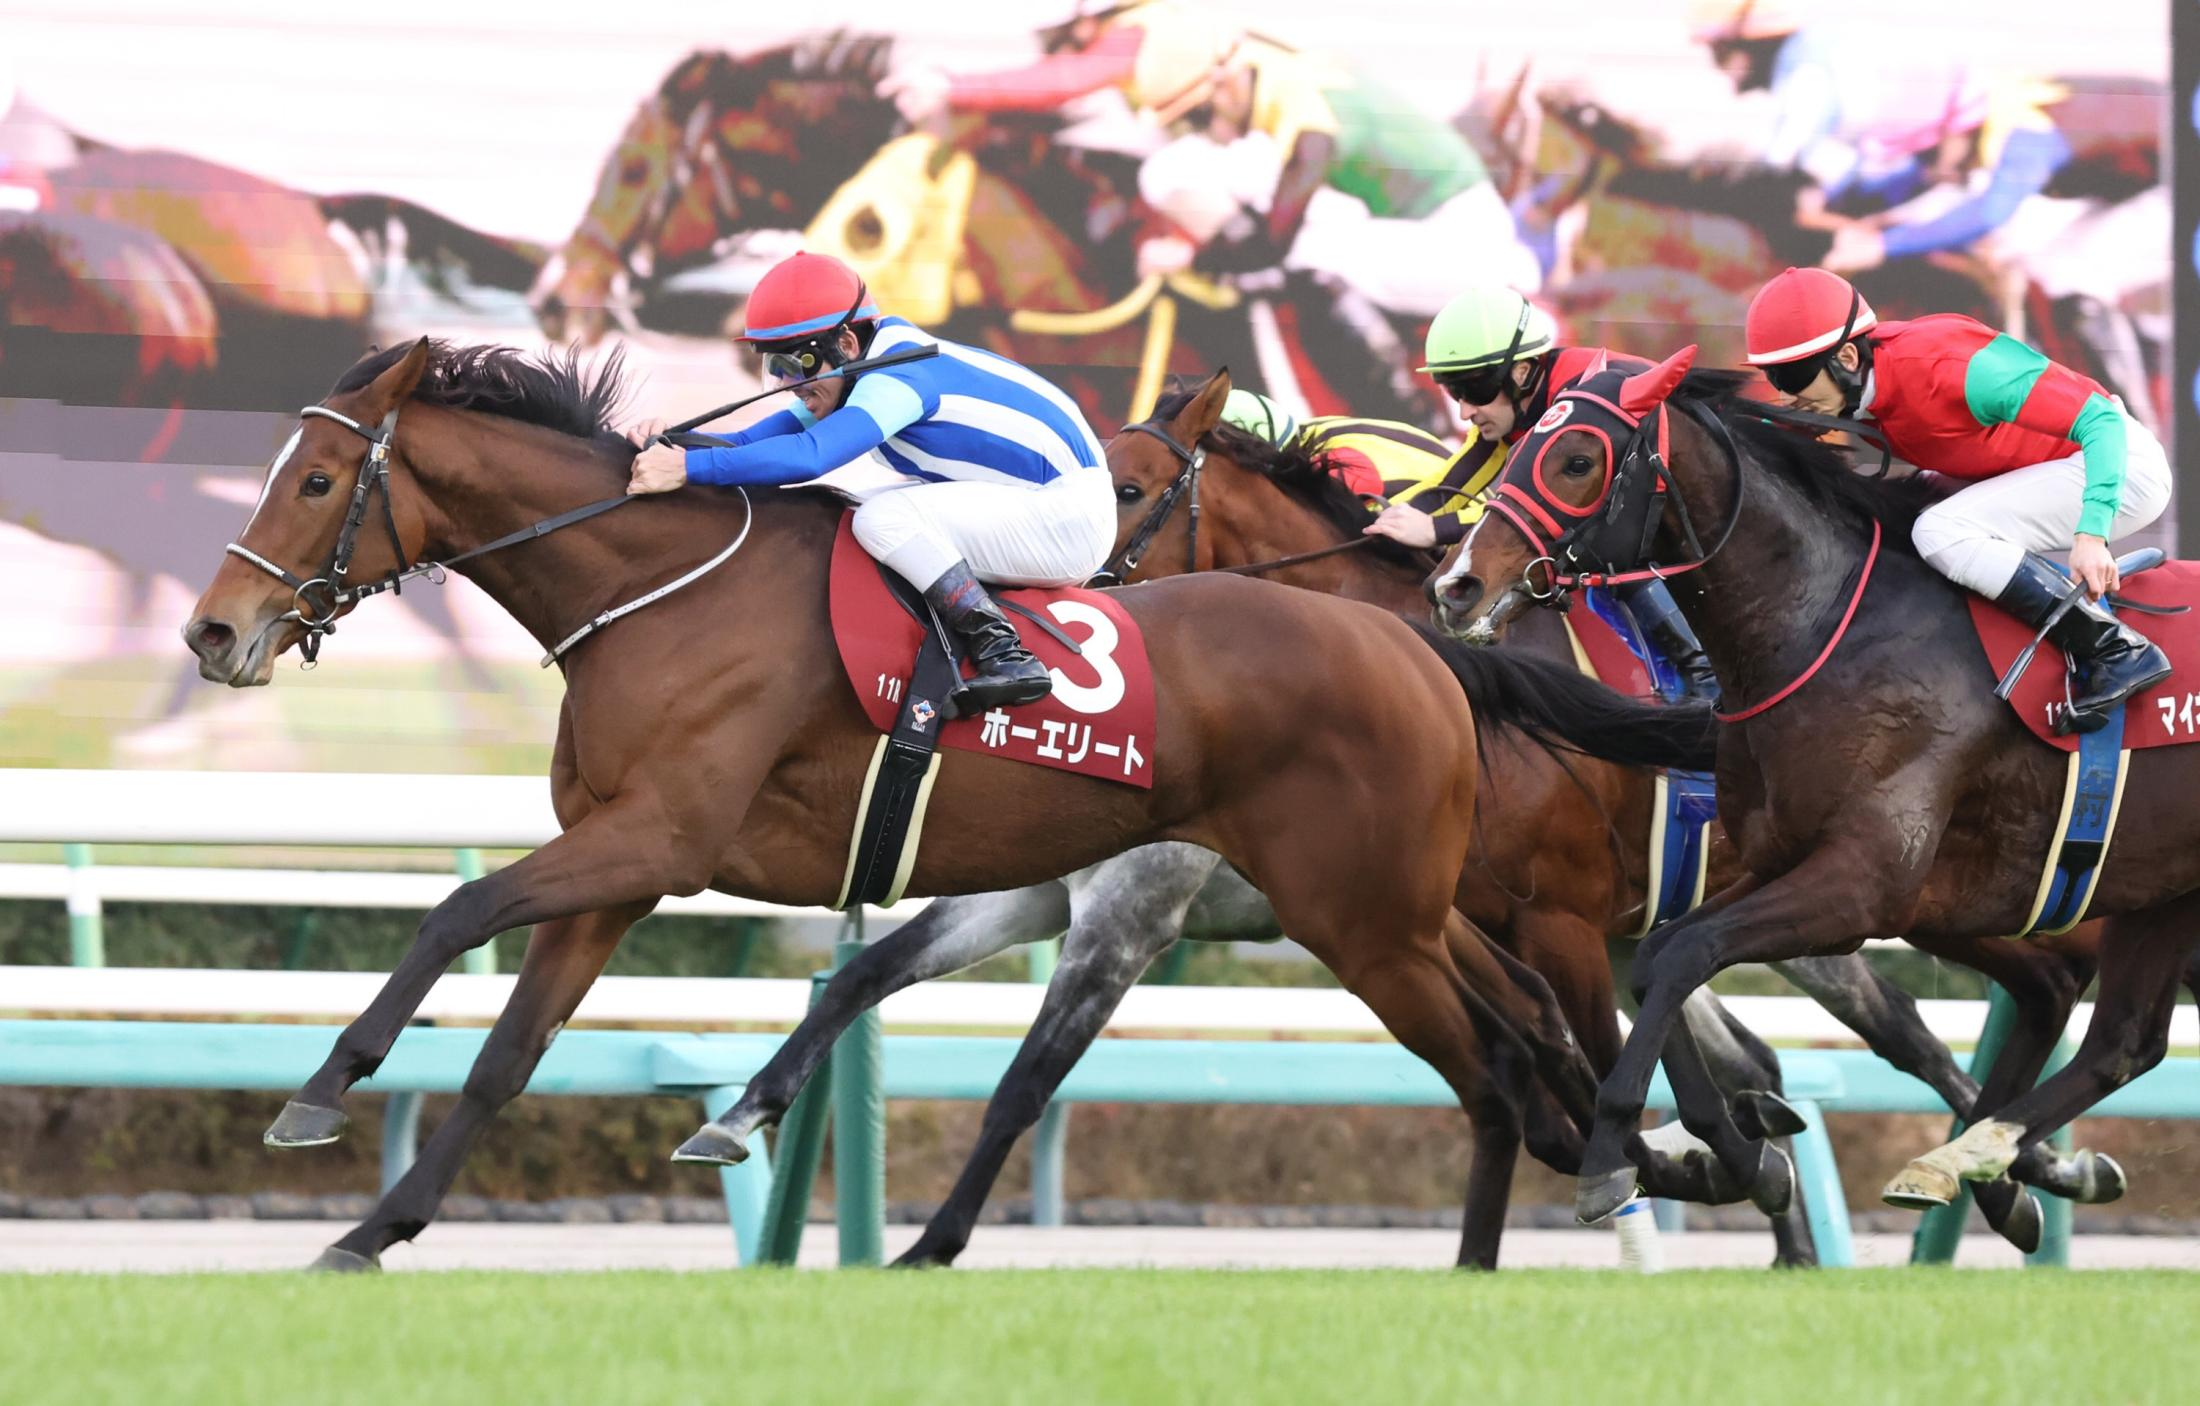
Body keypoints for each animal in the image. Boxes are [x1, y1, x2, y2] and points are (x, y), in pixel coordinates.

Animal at [179, 338, 1716, 1269]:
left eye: (317, 475)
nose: (213, 633)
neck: (654, 591)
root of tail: (1419, 645)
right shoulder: (621, 864)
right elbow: (508, 1052)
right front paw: (375, 1227)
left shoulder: (656, 837)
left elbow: (451, 909)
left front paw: (318, 1095)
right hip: (1406, 908)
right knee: (1527, 1056)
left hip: (1374, 920)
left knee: (1506, 1070)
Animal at [1429, 351, 2200, 1225]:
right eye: (1521, 448)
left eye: (1577, 460)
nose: (1456, 586)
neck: (1821, 627)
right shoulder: (1777, 860)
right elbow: (1664, 959)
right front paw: (1734, 1153)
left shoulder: (1861, 884)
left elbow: (1683, 955)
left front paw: (1632, 1153)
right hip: (2154, 888)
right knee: (2122, 1042)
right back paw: (1970, 1160)